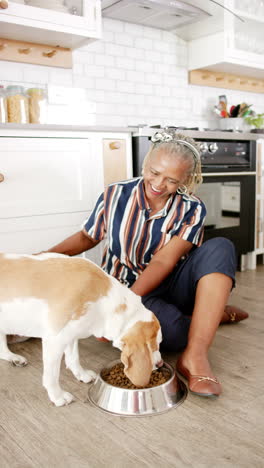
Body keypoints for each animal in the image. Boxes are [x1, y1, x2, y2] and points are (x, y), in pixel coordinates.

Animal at [0, 252, 162, 406]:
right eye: (155, 345)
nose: (160, 364)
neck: (99, 293)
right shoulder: (54, 340)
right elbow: (52, 375)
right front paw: (57, 396)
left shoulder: (71, 335)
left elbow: (73, 358)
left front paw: (81, 375)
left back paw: (13, 357)